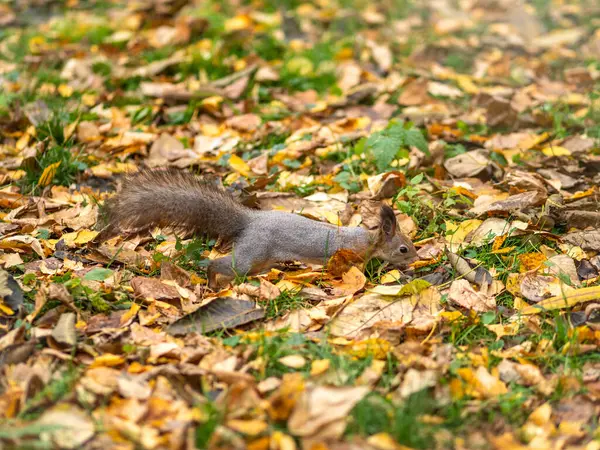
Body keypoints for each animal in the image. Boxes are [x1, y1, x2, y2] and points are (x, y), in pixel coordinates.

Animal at [97, 169, 418, 288]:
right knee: (221, 265)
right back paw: (212, 280)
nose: (417, 258)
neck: (369, 239)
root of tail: (250, 221)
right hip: (251, 253)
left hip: (259, 259)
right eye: (404, 248)